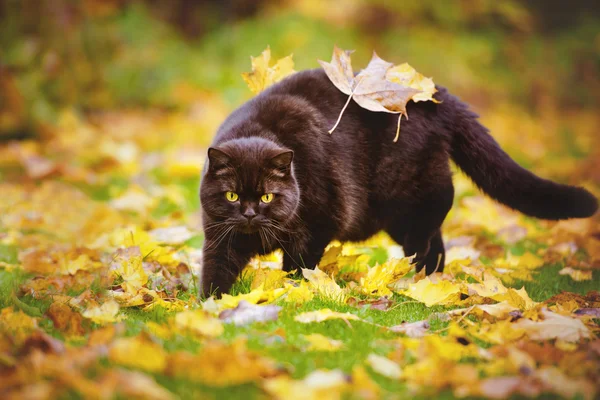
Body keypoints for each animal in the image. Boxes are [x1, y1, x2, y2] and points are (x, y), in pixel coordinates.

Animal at [199, 67, 596, 296]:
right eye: (232, 196)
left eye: (267, 197)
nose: (250, 213)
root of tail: (433, 95)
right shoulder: (220, 236)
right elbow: (215, 269)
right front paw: (210, 306)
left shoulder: (318, 224)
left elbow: (299, 267)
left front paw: (293, 293)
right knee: (436, 246)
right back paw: (428, 285)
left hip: (413, 200)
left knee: (429, 236)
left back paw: (415, 283)